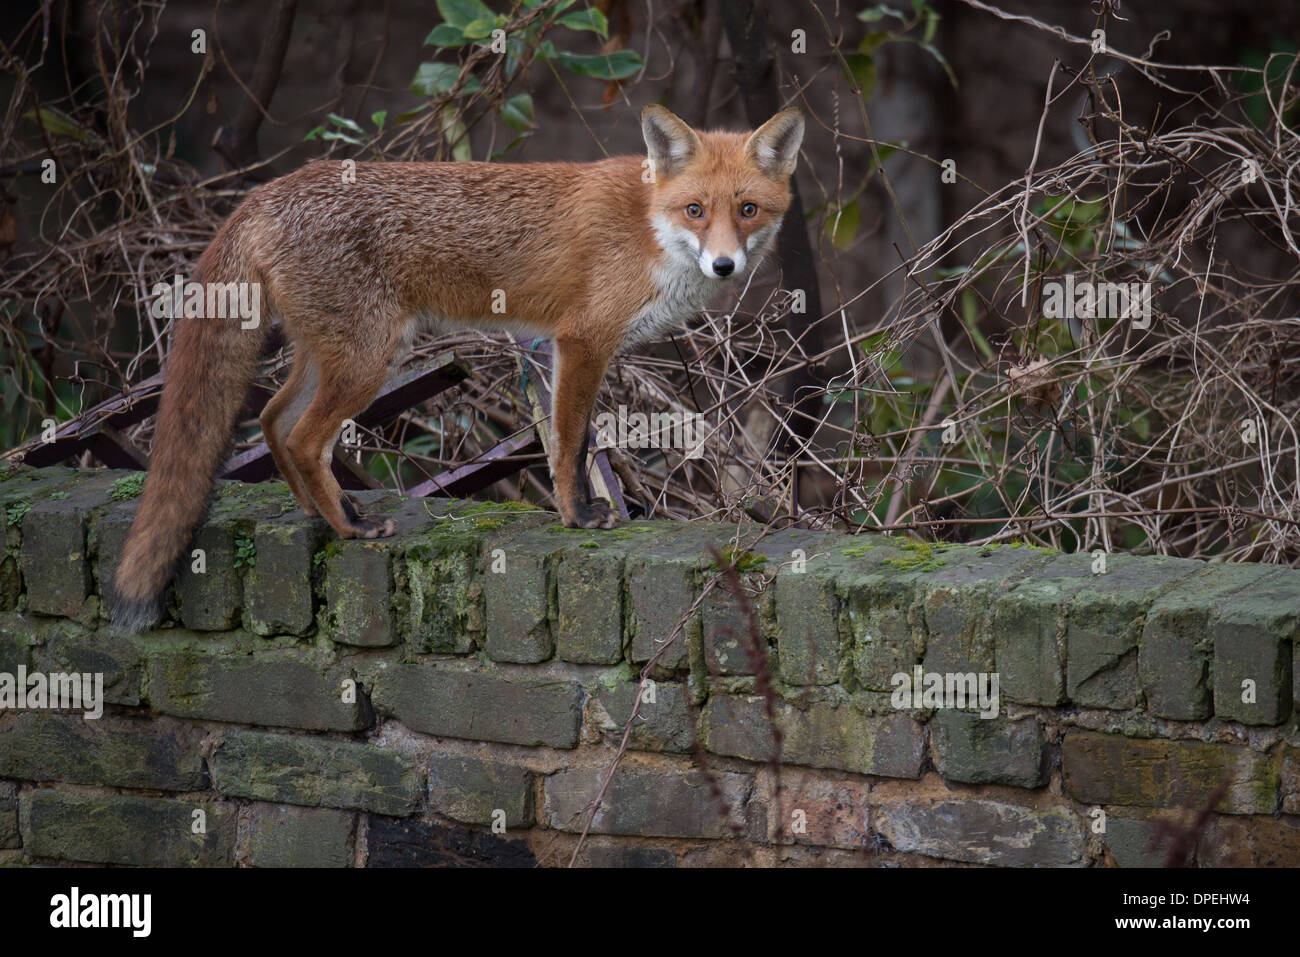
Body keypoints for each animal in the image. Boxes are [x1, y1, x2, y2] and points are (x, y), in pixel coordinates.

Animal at [111, 104, 800, 631]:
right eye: (695, 210)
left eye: (747, 210)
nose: (725, 266)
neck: (650, 225)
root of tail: (265, 191)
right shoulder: (581, 341)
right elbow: (570, 443)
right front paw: (577, 517)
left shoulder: (558, 347)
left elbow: (571, 442)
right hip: (368, 359)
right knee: (305, 437)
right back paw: (349, 527)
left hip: (331, 353)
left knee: (275, 420)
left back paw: (319, 513)